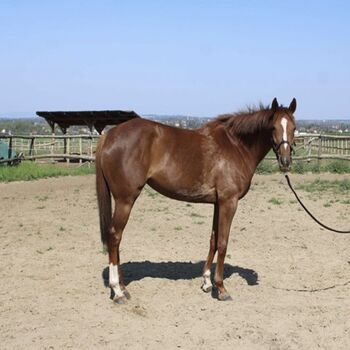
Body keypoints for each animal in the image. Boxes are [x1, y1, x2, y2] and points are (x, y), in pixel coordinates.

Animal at [95, 97, 296, 302]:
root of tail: (109, 135)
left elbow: (213, 240)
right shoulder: (229, 202)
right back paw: (117, 291)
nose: (286, 162)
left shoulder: (218, 203)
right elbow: (223, 243)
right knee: (115, 236)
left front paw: (207, 282)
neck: (236, 146)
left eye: (294, 128)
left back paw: (122, 287)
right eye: (273, 127)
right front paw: (221, 288)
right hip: (125, 200)